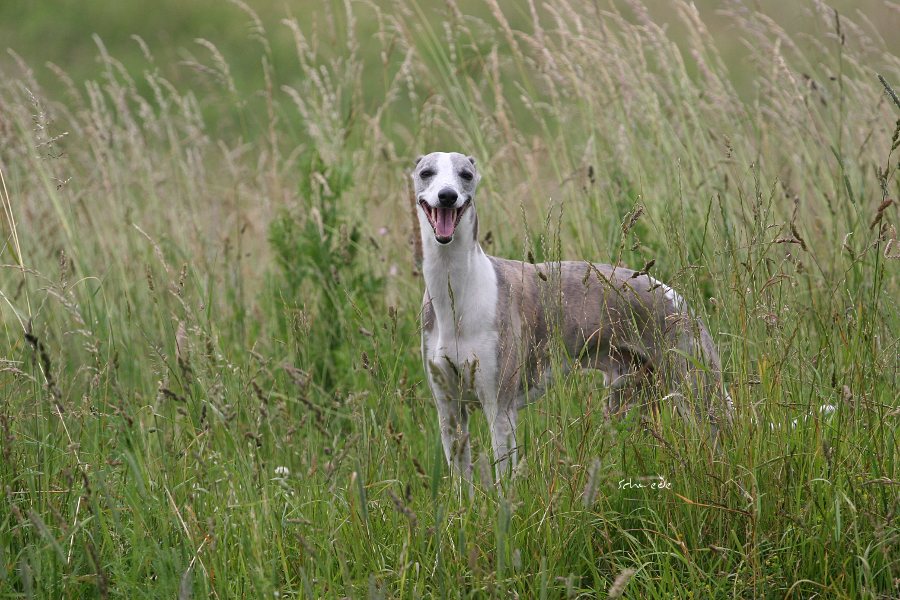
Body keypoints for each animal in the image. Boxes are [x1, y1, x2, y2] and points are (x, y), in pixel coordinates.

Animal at [414, 152, 732, 480]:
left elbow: (504, 480)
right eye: (426, 172)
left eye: (466, 174)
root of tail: (675, 296)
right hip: (628, 396)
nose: (447, 196)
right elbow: (461, 482)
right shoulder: (449, 412)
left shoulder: (499, 408)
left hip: (698, 392)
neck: (455, 294)